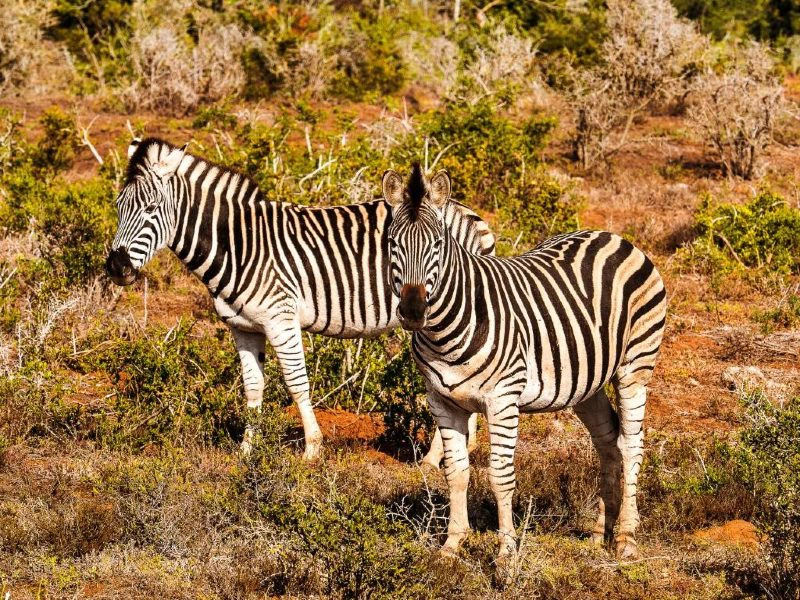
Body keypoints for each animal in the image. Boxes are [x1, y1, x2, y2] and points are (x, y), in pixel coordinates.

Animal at [104, 138, 492, 461]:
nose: (116, 267)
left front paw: (312, 450)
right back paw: (460, 448)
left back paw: (432, 458)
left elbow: (296, 383)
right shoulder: (243, 328)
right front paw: (246, 451)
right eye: (118, 206)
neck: (239, 244)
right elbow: (253, 388)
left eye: (152, 208)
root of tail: (468, 213)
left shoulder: (281, 319)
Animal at [382, 164, 667, 575]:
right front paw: (451, 546)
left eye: (437, 244)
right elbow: (456, 472)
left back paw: (626, 538)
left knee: (630, 444)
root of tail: (611, 235)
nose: (413, 311)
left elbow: (500, 476)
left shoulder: (503, 400)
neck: (445, 332)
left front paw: (505, 555)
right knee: (608, 442)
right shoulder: (442, 401)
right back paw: (600, 533)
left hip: (635, 365)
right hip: (588, 382)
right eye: (392, 244)